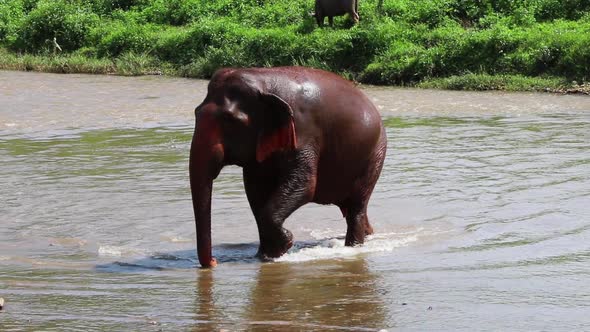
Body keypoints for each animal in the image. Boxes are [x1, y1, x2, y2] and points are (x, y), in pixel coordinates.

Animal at [187, 67, 386, 268]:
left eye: (230, 120)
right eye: (195, 112)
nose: (214, 261)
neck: (263, 81)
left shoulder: (303, 130)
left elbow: (305, 185)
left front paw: (285, 245)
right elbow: (255, 191)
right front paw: (267, 255)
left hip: (374, 155)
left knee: (356, 207)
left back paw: (353, 248)